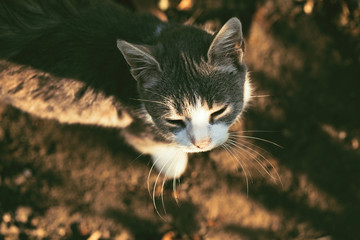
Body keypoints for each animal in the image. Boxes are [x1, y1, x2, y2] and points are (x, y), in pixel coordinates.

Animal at [0, 0, 252, 179]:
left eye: (218, 111)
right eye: (173, 120)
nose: (202, 144)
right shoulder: (140, 126)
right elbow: (154, 145)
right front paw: (174, 162)